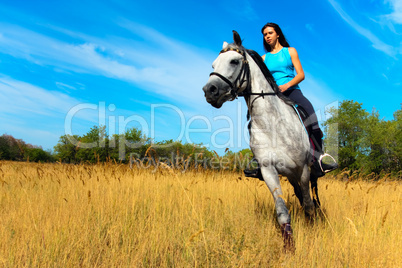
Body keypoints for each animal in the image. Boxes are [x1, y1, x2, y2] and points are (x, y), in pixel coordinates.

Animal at [203, 30, 322, 249]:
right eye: (214, 65)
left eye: (234, 61)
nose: (209, 90)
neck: (273, 123)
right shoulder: (269, 170)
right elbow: (282, 211)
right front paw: (289, 247)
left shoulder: (303, 170)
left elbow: (308, 205)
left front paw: (312, 231)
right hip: (290, 176)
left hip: (307, 173)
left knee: (312, 198)